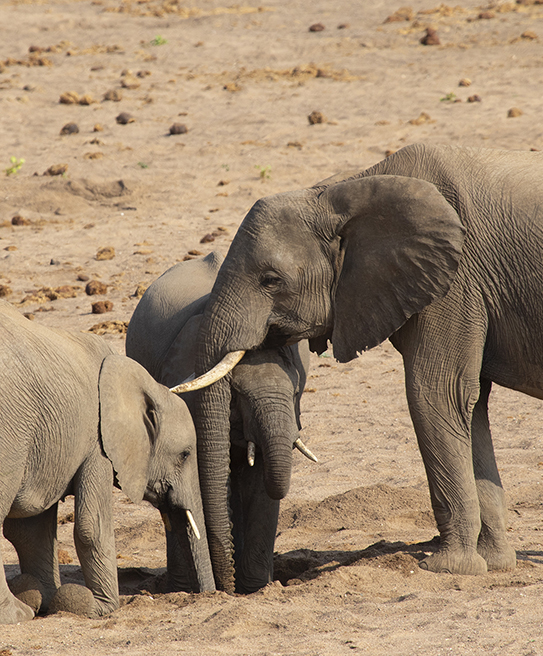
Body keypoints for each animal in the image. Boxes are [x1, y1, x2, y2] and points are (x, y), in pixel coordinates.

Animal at [0, 299, 214, 624]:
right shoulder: (97, 442)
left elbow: (30, 531)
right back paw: (17, 615)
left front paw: (47, 601)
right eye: (185, 454)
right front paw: (99, 608)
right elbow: (92, 527)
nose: (211, 594)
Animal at [125, 252, 311, 593]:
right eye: (236, 396)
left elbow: (259, 478)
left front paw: (256, 589)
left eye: (295, 393)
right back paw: (180, 586)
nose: (226, 588)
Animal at [187, 143, 543, 583]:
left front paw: (445, 568)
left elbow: (435, 395)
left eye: (270, 280)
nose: (227, 587)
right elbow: (470, 405)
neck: (345, 190)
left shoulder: (455, 284)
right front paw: (493, 565)